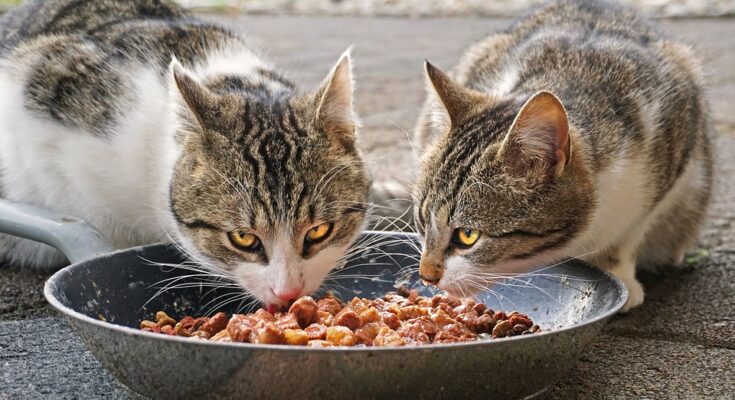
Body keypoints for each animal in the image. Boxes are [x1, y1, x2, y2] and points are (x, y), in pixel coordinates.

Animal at [412, 0, 712, 312]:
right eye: (421, 221)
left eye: (467, 235)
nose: (426, 276)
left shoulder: (676, 139)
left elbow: (630, 232)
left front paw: (618, 272)